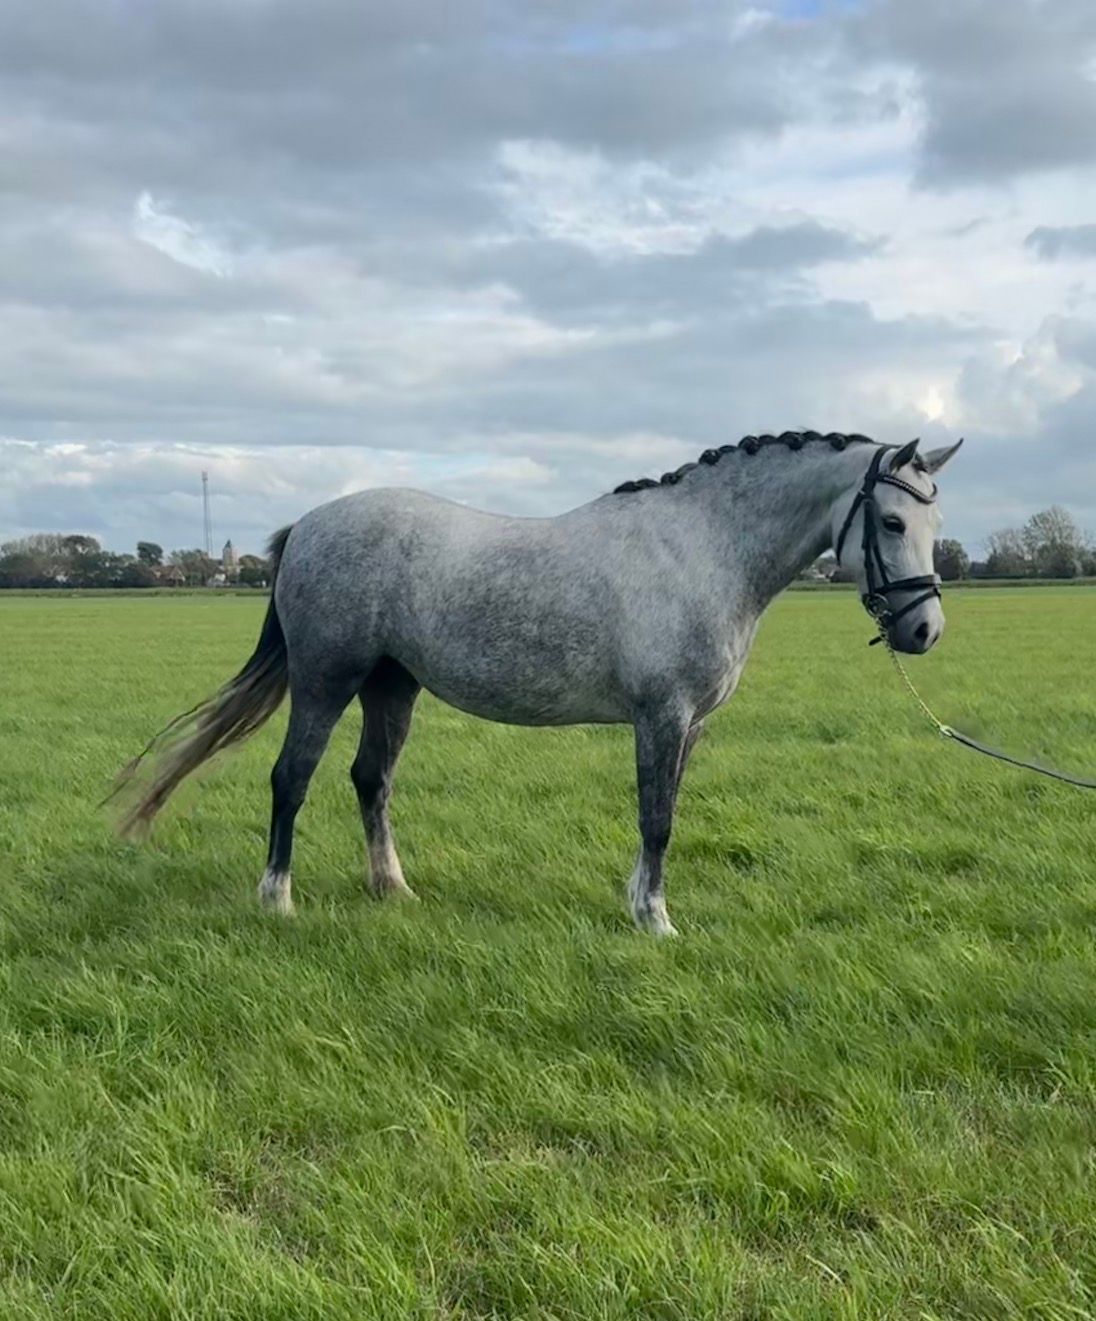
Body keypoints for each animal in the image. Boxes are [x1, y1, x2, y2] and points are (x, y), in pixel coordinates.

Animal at [113, 430, 962, 934]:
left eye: (933, 522)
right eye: (891, 522)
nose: (925, 631)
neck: (703, 545)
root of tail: (310, 525)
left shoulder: (689, 724)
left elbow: (663, 814)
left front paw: (640, 902)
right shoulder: (662, 714)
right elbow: (657, 818)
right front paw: (655, 920)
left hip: (392, 685)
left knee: (371, 779)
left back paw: (393, 888)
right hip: (327, 680)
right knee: (291, 778)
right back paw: (278, 899)